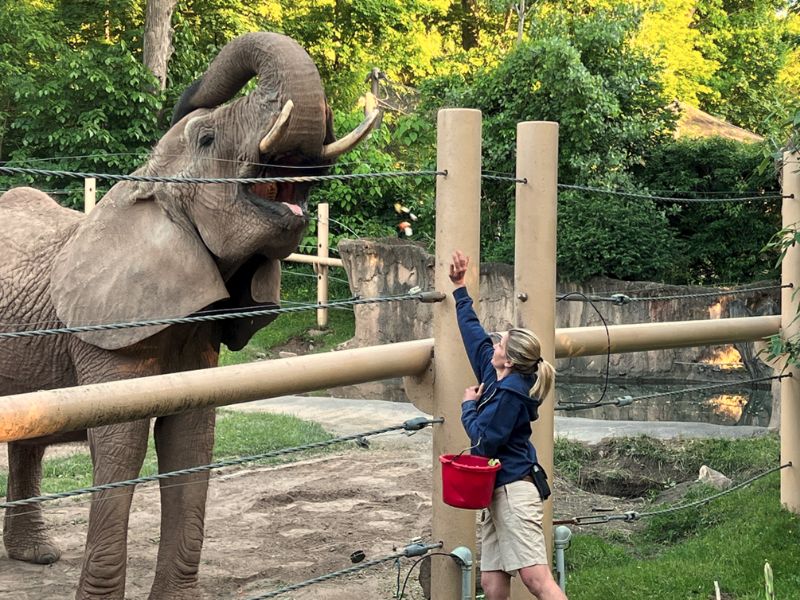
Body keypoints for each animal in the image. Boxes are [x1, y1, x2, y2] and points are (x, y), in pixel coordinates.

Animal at [0, 31, 378, 600]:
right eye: (207, 138)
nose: (185, 94)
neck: (148, 187)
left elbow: (191, 440)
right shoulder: (109, 330)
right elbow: (123, 444)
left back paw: (38, 557)